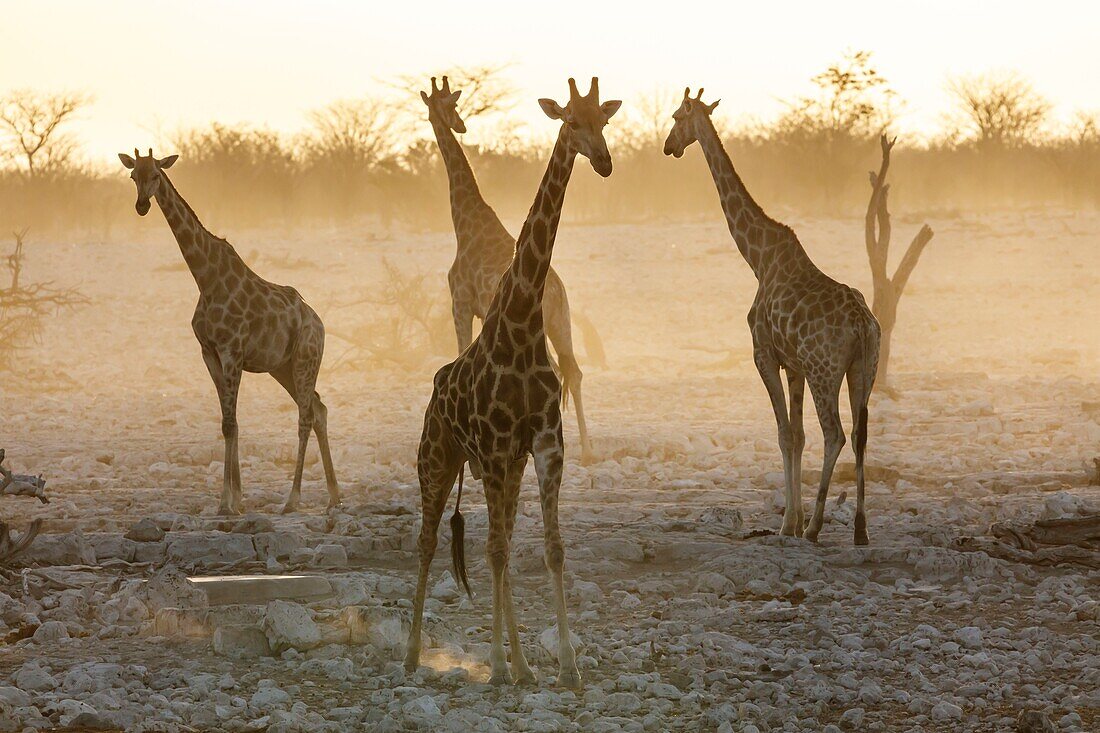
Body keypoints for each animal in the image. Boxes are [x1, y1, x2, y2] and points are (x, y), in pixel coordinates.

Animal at [118, 147, 336, 512]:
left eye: (156, 175)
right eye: (134, 175)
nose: (142, 206)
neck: (205, 279)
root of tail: (318, 323)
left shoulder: (232, 350)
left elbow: (230, 422)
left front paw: (225, 503)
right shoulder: (209, 353)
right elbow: (228, 422)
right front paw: (236, 500)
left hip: (306, 360)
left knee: (306, 415)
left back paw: (292, 500)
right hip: (283, 367)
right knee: (319, 409)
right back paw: (335, 496)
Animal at [418, 77, 594, 460]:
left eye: (451, 105)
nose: (460, 124)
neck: (464, 222)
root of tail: (555, 290)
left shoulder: (460, 303)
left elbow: (457, 350)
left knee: (561, 370)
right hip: (561, 321)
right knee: (573, 370)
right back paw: (588, 449)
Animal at [660, 88, 884, 541]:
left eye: (676, 116)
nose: (668, 146)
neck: (758, 258)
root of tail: (863, 326)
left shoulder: (764, 354)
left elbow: (783, 434)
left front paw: (789, 525)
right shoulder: (794, 365)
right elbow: (797, 436)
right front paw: (791, 522)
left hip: (824, 371)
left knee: (835, 434)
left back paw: (816, 527)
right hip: (863, 368)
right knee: (860, 435)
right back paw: (860, 531)